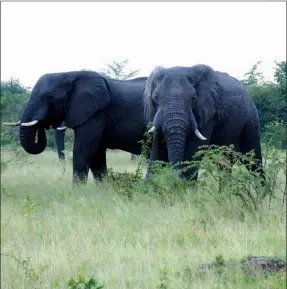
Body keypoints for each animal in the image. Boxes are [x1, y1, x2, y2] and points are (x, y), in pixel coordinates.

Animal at [3, 70, 148, 183]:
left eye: (50, 97)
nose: (42, 123)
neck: (70, 74)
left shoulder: (97, 113)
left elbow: (83, 149)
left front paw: (77, 191)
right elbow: (97, 153)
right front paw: (103, 191)